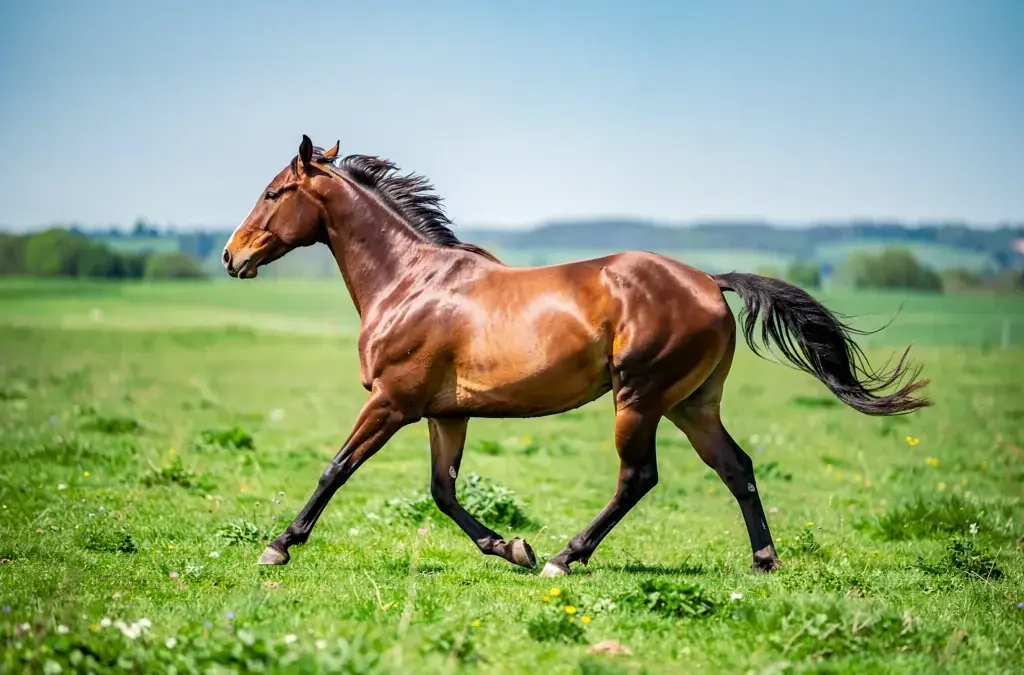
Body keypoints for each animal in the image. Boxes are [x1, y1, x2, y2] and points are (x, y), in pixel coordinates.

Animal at [222, 135, 930, 578]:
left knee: (638, 477)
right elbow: (443, 491)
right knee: (737, 467)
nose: (232, 255)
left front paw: (278, 546)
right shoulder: (446, 414)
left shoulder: (391, 403)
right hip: (692, 405)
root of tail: (709, 281)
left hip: (638, 398)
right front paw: (511, 547)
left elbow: (335, 469)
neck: (410, 283)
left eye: (274, 192)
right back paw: (763, 561)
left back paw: (568, 557)